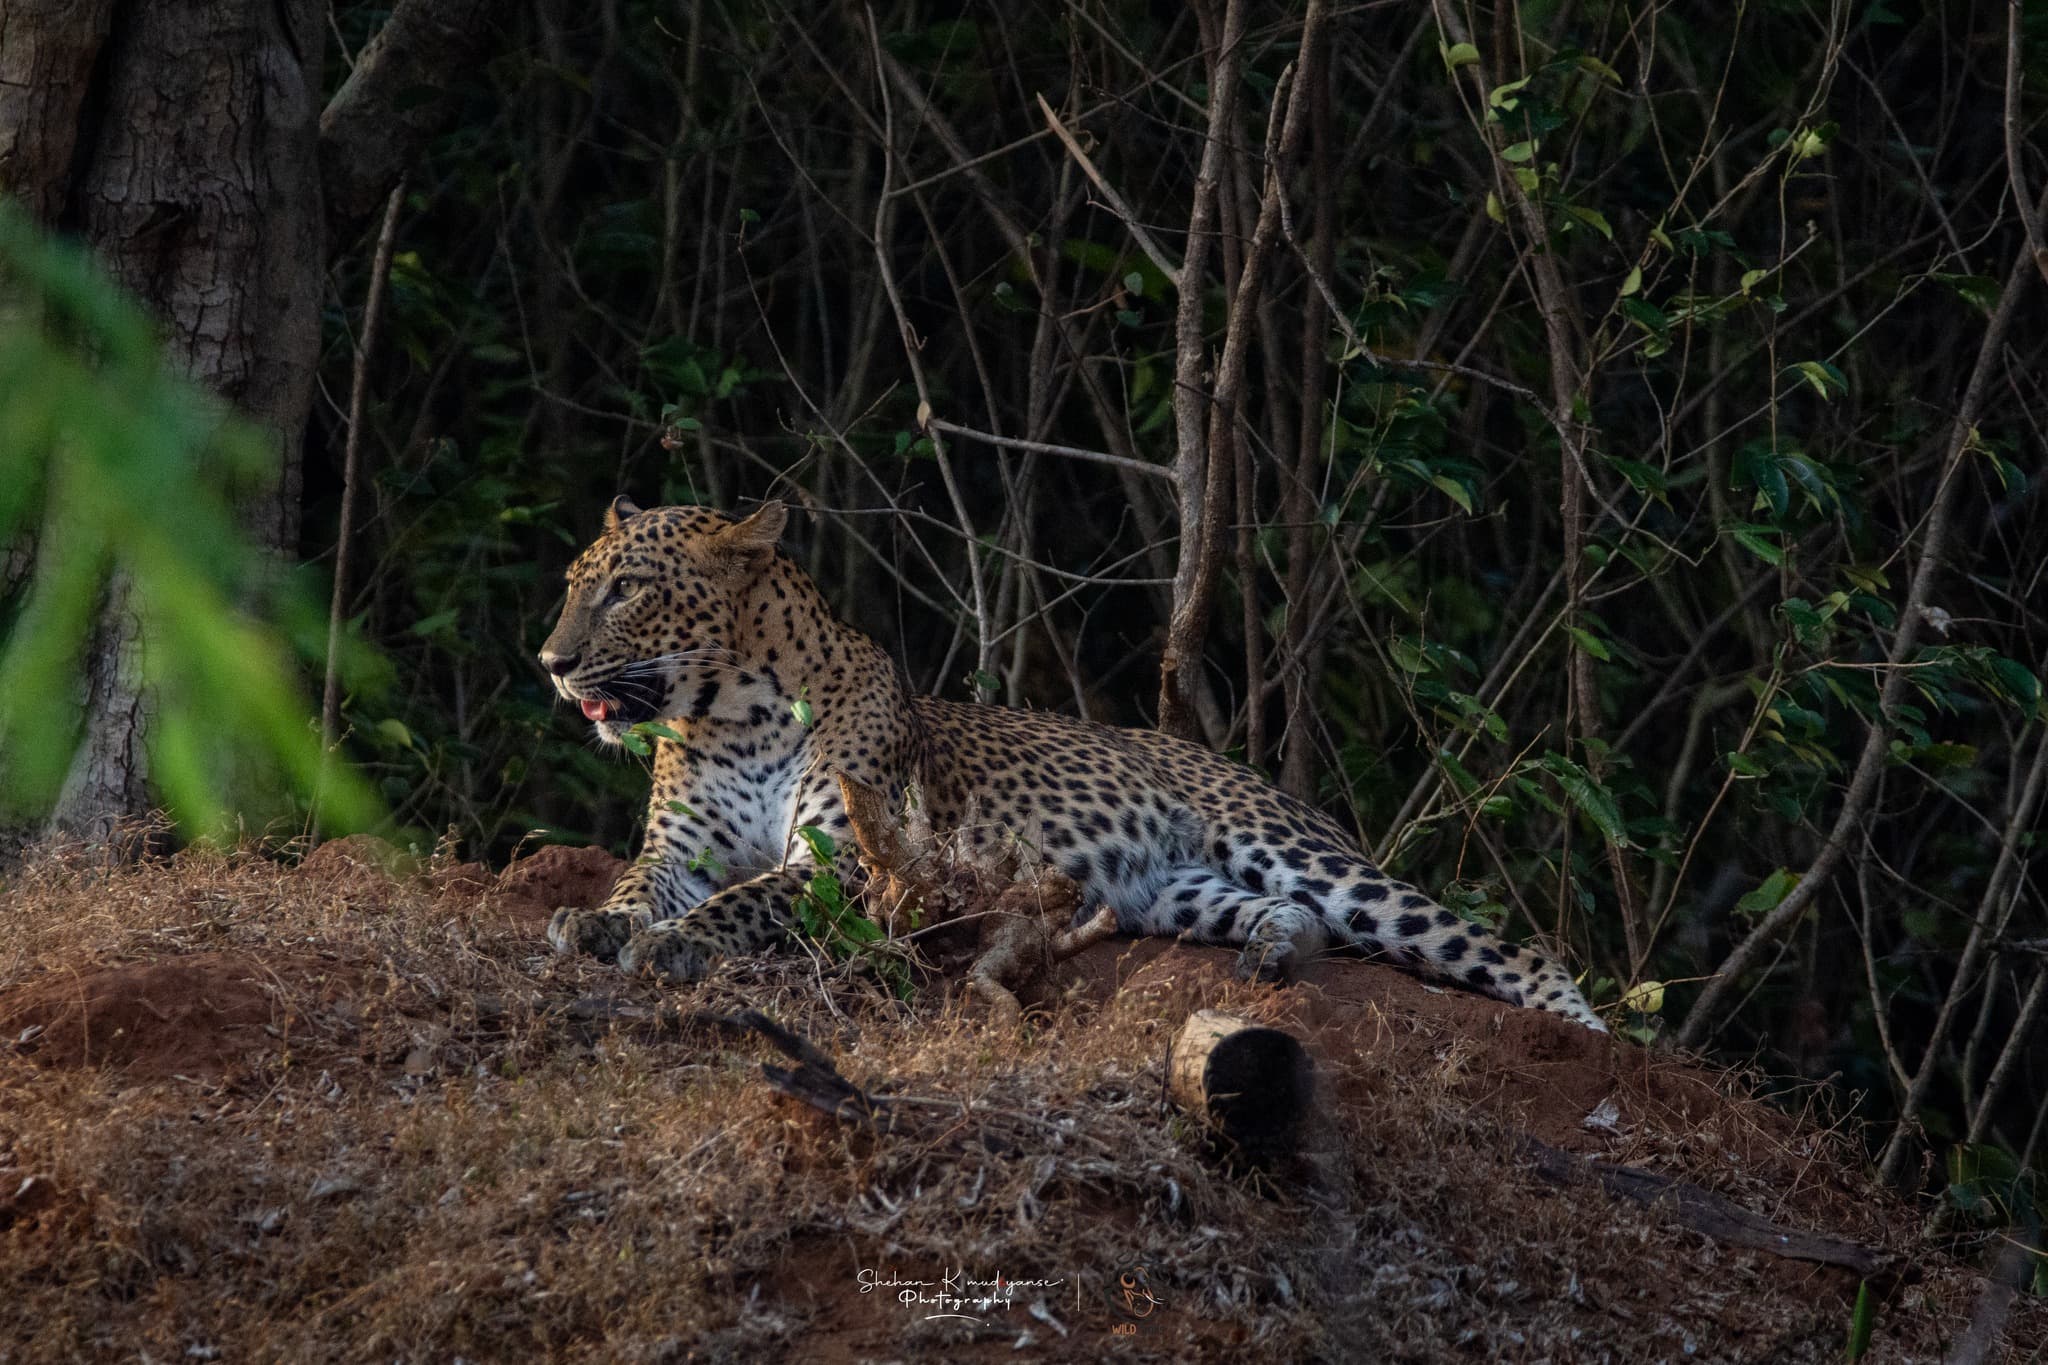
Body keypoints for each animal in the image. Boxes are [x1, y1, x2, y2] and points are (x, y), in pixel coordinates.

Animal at [539, 497, 1605, 1031]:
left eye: (625, 589)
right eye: (574, 585)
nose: (549, 662)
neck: (730, 715)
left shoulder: (856, 862)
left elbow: (747, 900)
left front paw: (675, 944)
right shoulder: (683, 848)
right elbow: (639, 883)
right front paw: (596, 923)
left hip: (1307, 855)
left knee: (1504, 948)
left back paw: (1585, 1029)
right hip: (1173, 890)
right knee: (1285, 917)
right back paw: (1270, 954)